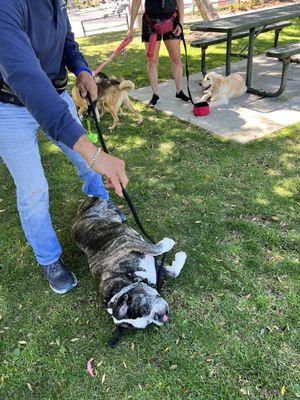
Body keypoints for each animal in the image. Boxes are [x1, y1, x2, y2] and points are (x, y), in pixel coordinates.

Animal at [72, 197, 186, 328]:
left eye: (143, 309)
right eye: (146, 321)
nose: (159, 318)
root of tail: (79, 214)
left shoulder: (128, 242)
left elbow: (155, 248)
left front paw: (171, 246)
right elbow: (172, 271)